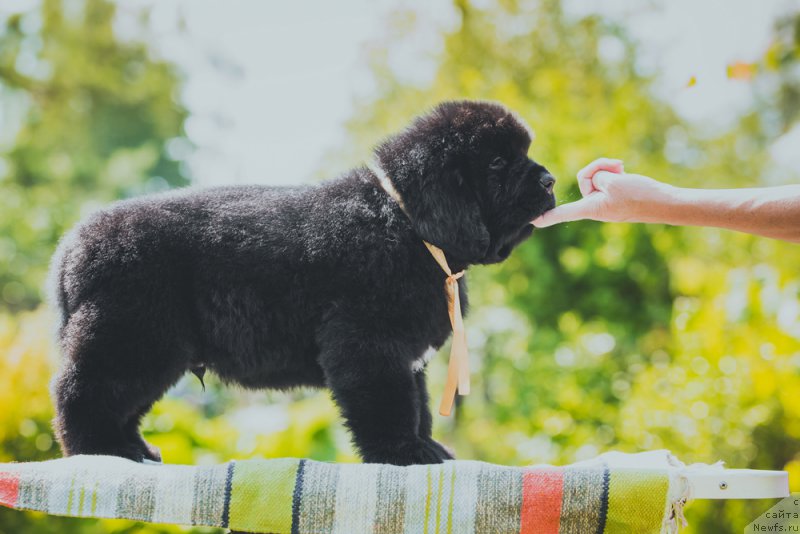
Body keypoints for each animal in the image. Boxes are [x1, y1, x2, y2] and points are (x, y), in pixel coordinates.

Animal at [48, 101, 556, 468]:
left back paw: (135, 451)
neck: (407, 223)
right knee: (81, 391)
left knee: (119, 404)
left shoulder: (408, 356)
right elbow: (391, 405)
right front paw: (404, 454)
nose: (551, 180)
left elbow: (421, 406)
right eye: (497, 162)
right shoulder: (368, 345)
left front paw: (428, 446)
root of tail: (72, 247)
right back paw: (101, 451)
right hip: (132, 337)